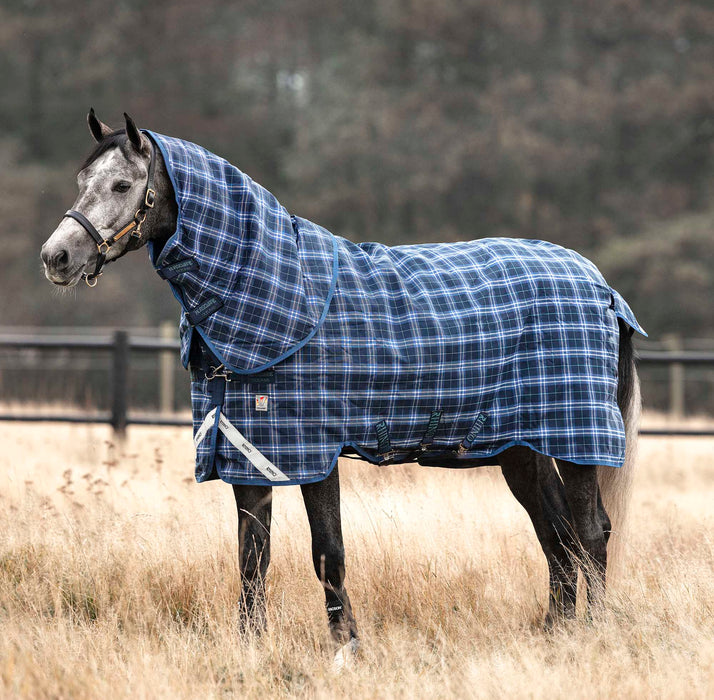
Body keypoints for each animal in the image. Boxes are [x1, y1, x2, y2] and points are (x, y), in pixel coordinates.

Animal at [41, 111, 642, 661]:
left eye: (122, 185)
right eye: (81, 180)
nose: (56, 257)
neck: (278, 292)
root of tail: (601, 287)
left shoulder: (315, 453)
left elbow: (327, 551)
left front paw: (346, 647)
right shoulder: (249, 452)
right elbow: (252, 556)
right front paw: (250, 646)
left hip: (577, 437)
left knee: (591, 531)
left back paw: (593, 635)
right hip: (524, 448)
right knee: (558, 537)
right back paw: (556, 635)